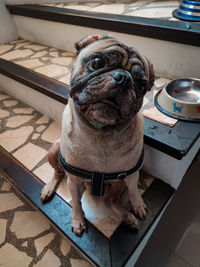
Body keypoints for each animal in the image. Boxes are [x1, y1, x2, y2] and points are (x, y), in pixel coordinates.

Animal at [39, 34, 154, 238]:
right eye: (97, 62)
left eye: (141, 86)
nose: (124, 78)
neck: (100, 133)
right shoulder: (74, 181)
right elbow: (76, 202)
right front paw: (77, 220)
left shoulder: (132, 176)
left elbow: (134, 191)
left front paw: (138, 205)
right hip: (54, 150)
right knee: (58, 172)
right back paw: (49, 187)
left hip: (118, 184)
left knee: (111, 201)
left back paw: (128, 217)